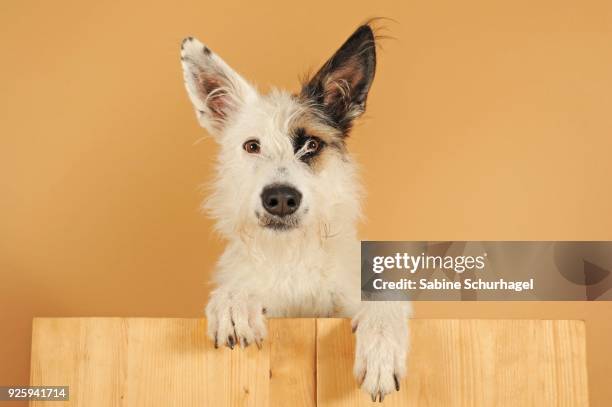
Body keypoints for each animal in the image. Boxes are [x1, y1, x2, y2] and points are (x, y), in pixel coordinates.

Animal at [180, 22, 412, 402]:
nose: (280, 199)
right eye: (252, 146)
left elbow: (383, 297)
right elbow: (238, 288)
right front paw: (233, 303)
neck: (291, 253)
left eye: (311, 145)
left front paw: (381, 350)